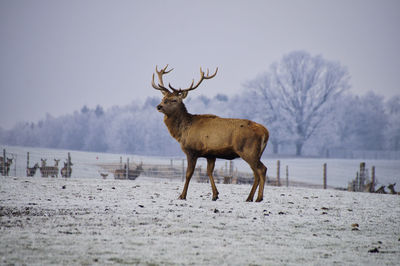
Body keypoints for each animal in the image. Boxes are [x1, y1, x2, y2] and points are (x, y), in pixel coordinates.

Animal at [152, 65, 268, 202]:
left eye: (174, 100)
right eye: (163, 98)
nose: (159, 106)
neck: (182, 132)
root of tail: (266, 132)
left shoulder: (192, 150)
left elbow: (189, 174)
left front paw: (182, 196)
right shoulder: (211, 154)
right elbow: (209, 172)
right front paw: (215, 195)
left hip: (248, 150)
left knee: (261, 169)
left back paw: (259, 198)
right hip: (256, 153)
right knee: (256, 172)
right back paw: (250, 198)